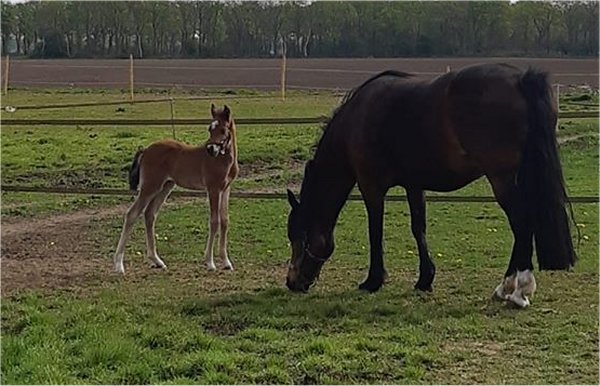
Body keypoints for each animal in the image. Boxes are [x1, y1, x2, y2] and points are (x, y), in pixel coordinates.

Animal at [115, 104, 239, 272]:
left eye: (223, 129)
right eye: (210, 129)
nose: (210, 149)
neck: (222, 159)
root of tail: (146, 150)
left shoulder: (225, 189)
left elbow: (225, 221)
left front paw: (226, 262)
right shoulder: (213, 189)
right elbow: (214, 221)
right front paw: (210, 262)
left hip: (165, 187)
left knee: (149, 214)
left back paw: (157, 260)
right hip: (150, 186)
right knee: (132, 214)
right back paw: (119, 265)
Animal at [286, 63, 576, 308]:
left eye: (298, 236)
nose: (292, 282)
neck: (356, 119)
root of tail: (520, 79)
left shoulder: (372, 187)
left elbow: (375, 232)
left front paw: (373, 280)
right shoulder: (414, 185)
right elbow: (419, 228)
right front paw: (425, 279)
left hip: (502, 179)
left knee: (522, 224)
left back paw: (512, 290)